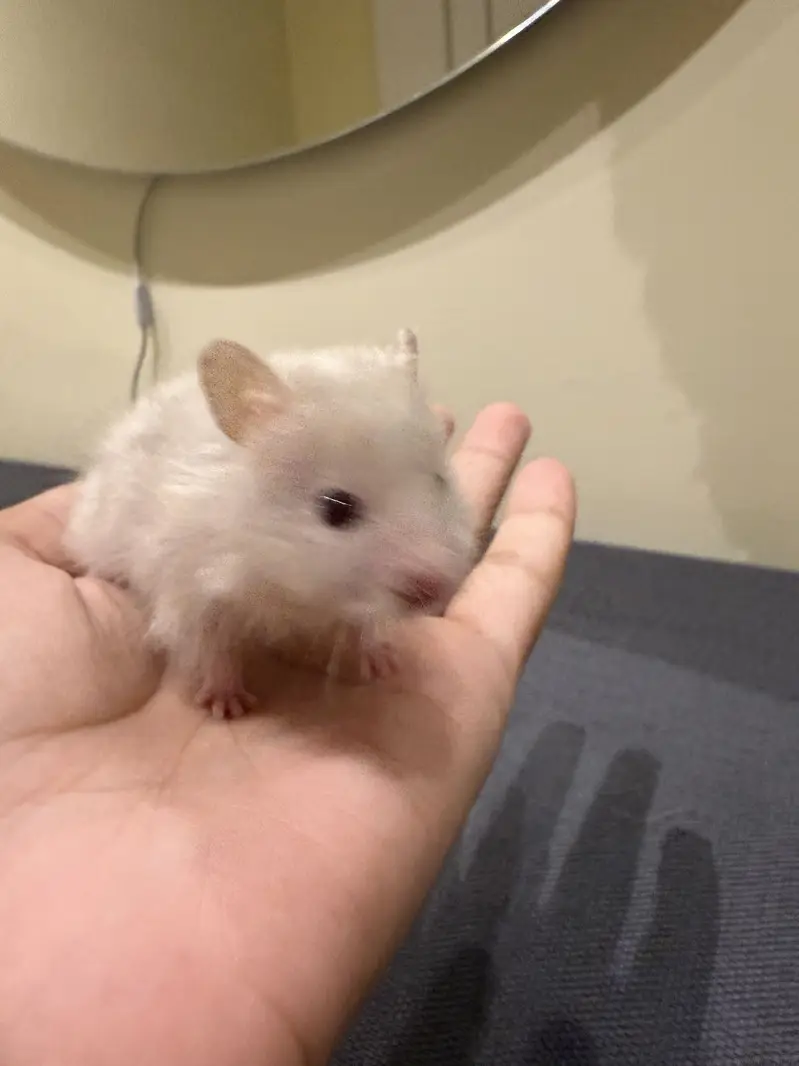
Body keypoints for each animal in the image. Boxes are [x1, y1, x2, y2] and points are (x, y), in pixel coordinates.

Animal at [64, 330, 477, 718]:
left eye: (440, 482)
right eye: (336, 508)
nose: (435, 588)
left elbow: (366, 626)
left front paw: (384, 663)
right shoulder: (192, 592)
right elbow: (213, 651)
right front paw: (228, 706)